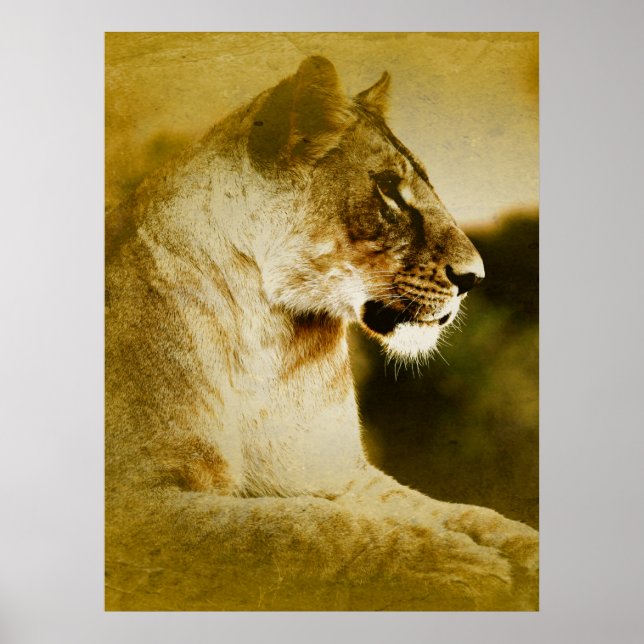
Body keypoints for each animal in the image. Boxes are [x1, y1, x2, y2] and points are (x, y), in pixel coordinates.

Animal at [105, 56, 538, 611]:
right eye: (388, 189)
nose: (474, 279)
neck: (267, 334)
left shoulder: (336, 472)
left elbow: (461, 513)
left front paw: (522, 552)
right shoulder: (134, 501)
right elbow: (301, 529)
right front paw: (464, 567)